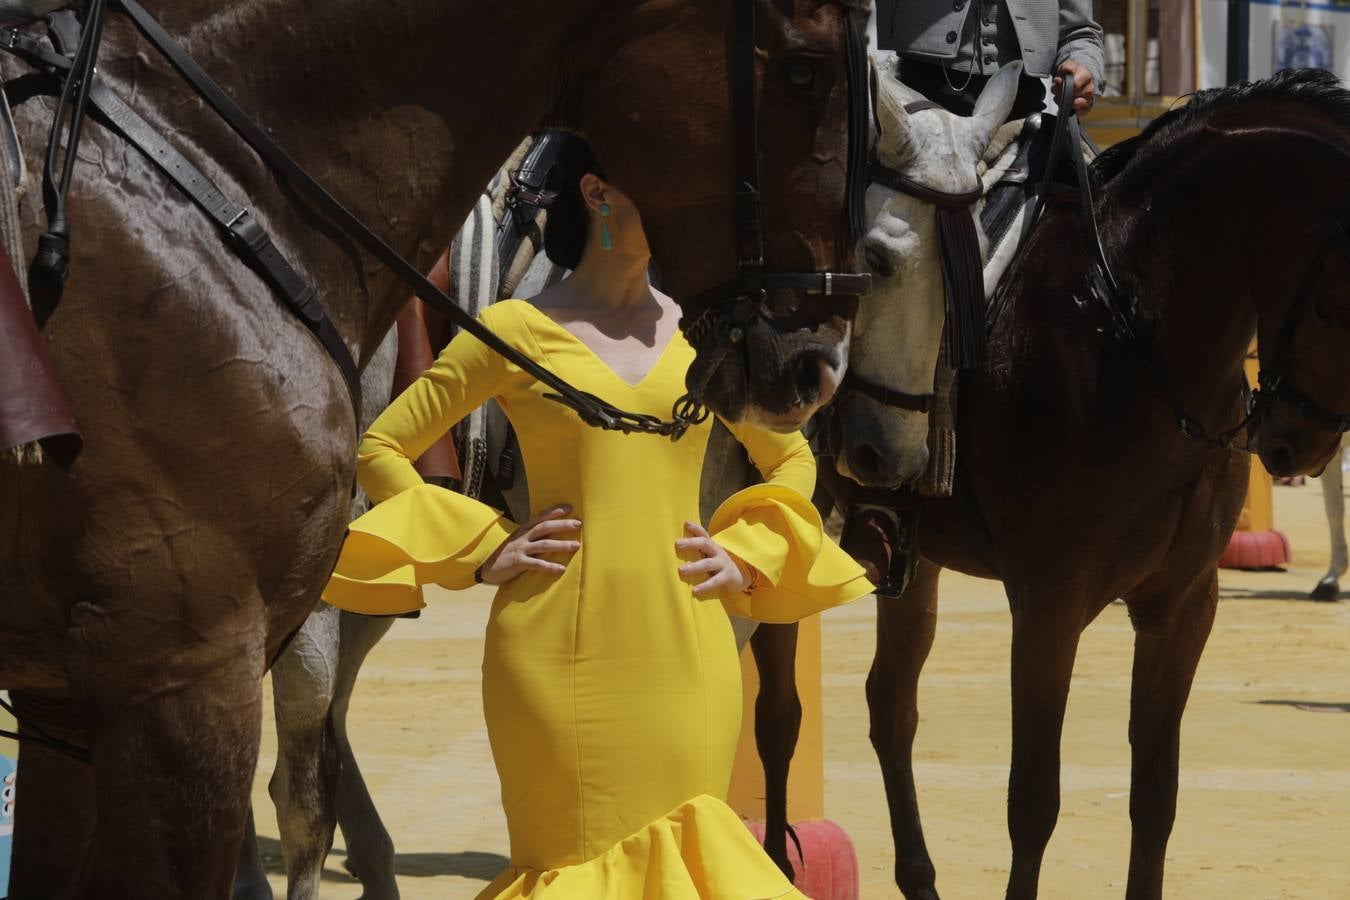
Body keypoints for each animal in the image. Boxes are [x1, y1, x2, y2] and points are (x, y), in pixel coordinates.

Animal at [756, 65, 1350, 900]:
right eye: (1333, 302)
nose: (1297, 442)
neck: (1127, 338)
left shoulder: (1183, 607)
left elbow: (1155, 799)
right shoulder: (1048, 605)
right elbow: (1033, 801)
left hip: (913, 554)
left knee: (890, 704)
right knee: (779, 714)